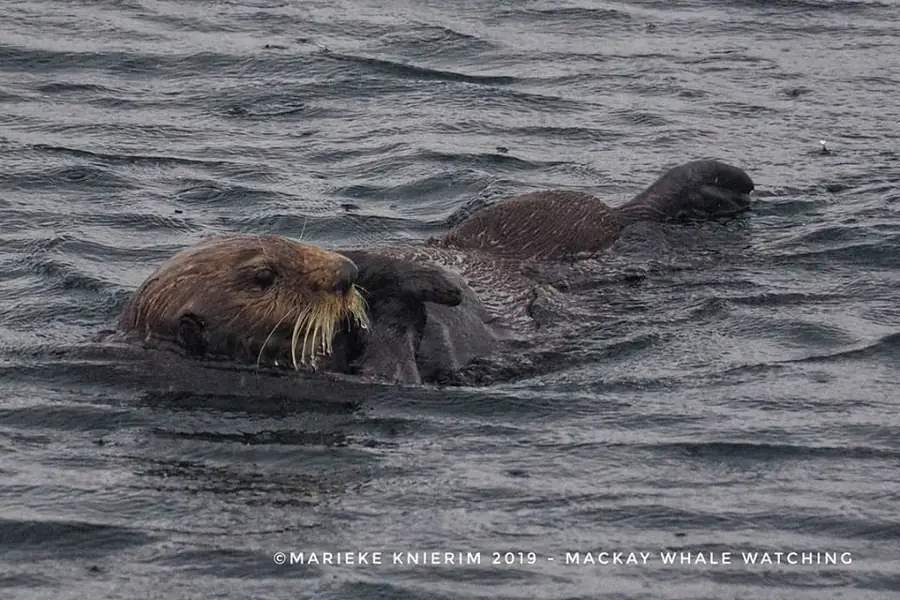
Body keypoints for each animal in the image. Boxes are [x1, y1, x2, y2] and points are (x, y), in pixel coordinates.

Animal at [115, 159, 754, 385]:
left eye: (293, 243)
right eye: (264, 277)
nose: (342, 273)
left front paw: (395, 272)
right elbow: (397, 363)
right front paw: (427, 292)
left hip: (530, 216)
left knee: (629, 211)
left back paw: (725, 186)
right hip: (563, 226)